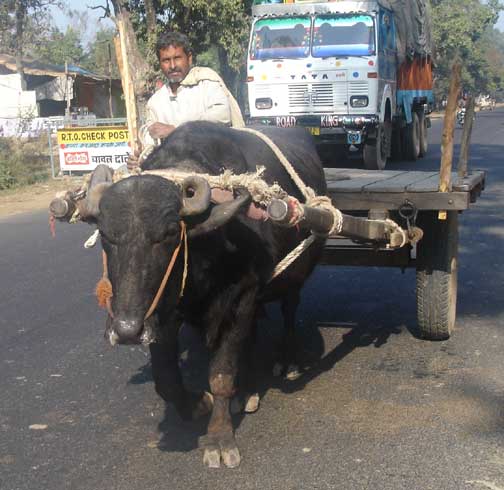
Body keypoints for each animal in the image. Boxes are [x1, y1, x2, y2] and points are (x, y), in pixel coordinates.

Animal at [77, 120, 324, 468]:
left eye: (168, 234)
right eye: (105, 235)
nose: (125, 330)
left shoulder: (243, 296)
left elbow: (221, 374)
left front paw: (220, 438)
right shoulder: (161, 312)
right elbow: (166, 378)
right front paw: (197, 405)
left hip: (297, 274)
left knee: (290, 309)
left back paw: (287, 362)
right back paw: (247, 391)